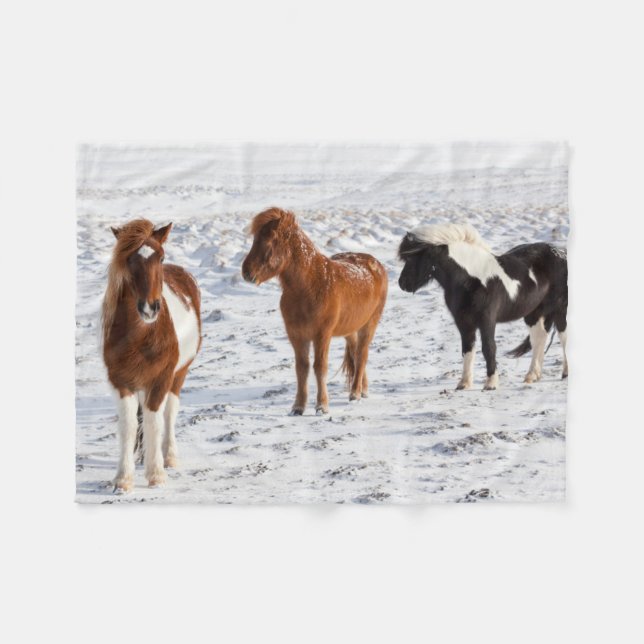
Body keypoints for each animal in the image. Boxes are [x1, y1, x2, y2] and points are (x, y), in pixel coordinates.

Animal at [102, 219, 201, 493]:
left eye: (161, 256)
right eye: (128, 260)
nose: (150, 308)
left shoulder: (160, 380)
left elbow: (154, 421)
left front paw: (156, 475)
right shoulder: (121, 382)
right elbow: (128, 427)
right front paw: (123, 480)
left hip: (178, 375)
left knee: (169, 413)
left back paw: (169, 457)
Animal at [241, 207, 388, 415]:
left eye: (269, 242)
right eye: (254, 240)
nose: (246, 272)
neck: (310, 286)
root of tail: (375, 264)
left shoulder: (322, 335)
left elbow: (320, 367)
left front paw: (321, 406)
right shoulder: (297, 335)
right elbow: (301, 368)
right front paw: (298, 407)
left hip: (369, 325)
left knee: (362, 355)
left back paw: (355, 393)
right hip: (350, 329)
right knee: (355, 353)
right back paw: (362, 390)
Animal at [397, 223, 567, 390]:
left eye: (413, 257)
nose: (402, 284)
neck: (471, 279)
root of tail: (561, 255)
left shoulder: (487, 319)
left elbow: (488, 347)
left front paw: (491, 383)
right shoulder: (464, 322)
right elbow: (467, 349)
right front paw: (464, 383)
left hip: (559, 309)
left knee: (562, 336)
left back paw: (565, 373)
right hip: (533, 313)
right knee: (539, 337)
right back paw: (532, 376)